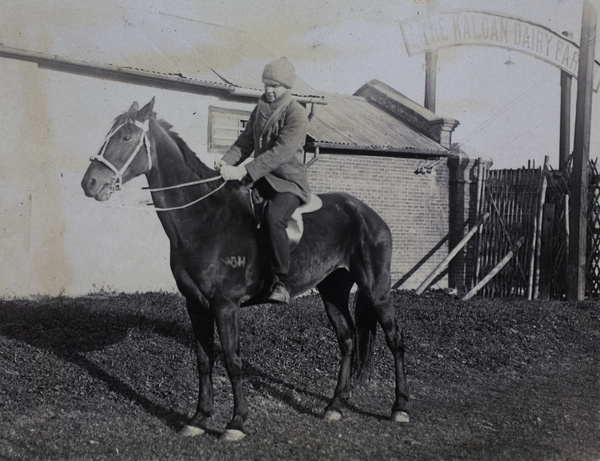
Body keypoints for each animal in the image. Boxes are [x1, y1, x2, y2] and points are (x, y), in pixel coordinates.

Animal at [82, 99, 410, 440]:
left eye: (126, 137)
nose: (90, 183)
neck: (205, 218)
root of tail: (368, 213)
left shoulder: (225, 306)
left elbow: (232, 359)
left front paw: (236, 422)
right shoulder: (196, 305)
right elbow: (204, 360)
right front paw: (199, 418)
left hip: (376, 289)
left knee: (395, 339)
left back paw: (399, 407)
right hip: (333, 289)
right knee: (347, 340)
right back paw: (335, 405)